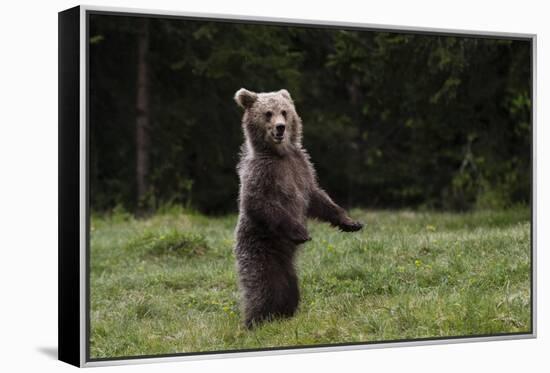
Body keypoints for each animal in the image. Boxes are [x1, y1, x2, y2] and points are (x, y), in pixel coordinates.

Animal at [235, 88, 364, 326]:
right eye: (268, 113)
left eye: (284, 112)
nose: (280, 127)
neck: (279, 154)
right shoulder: (262, 174)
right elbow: (259, 203)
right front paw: (301, 232)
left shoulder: (301, 168)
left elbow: (318, 199)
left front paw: (351, 222)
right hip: (261, 249)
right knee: (263, 287)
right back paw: (255, 321)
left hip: (287, 266)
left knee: (289, 289)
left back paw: (285, 314)